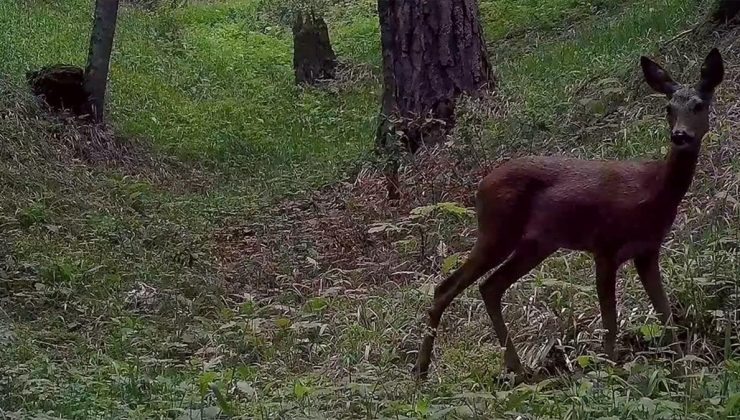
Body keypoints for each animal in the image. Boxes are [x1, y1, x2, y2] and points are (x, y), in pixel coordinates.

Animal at [414, 48, 724, 378]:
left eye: (699, 105)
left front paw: (683, 369)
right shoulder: (605, 246)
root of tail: (480, 186)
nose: (680, 135)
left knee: (490, 286)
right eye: (668, 107)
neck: (652, 191)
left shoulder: (648, 251)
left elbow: (665, 313)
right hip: (497, 231)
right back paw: (422, 369)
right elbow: (610, 323)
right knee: (447, 287)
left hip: (536, 244)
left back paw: (517, 370)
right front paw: (611, 373)